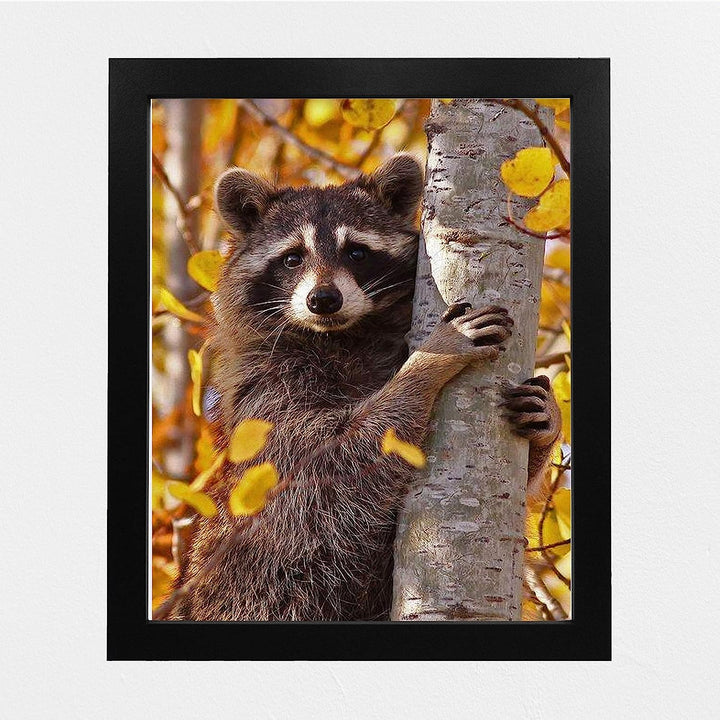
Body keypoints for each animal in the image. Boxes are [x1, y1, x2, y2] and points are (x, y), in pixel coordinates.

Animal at [173, 154, 560, 621]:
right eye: (292, 258)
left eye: (356, 252)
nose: (323, 299)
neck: (342, 336)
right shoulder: (267, 400)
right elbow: (333, 460)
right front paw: (428, 361)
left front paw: (548, 425)